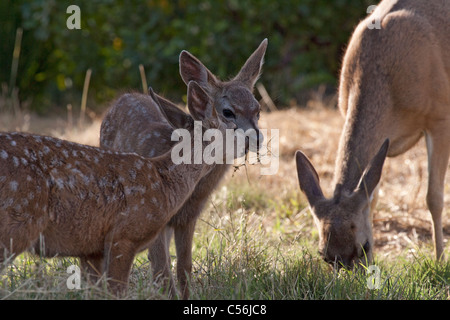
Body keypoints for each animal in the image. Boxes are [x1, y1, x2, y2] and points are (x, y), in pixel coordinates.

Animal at [0, 80, 237, 296]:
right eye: (230, 125)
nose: (246, 142)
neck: (164, 182)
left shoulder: (91, 248)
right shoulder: (123, 236)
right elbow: (117, 291)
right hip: (15, 225)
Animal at [100, 39, 266, 298]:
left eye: (258, 109)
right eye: (228, 112)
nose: (257, 138)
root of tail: (121, 98)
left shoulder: (188, 218)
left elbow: (184, 268)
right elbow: (162, 272)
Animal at [298, 0, 448, 268]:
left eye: (364, 247)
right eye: (324, 256)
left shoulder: (439, 116)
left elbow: (434, 197)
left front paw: (440, 261)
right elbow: (373, 193)